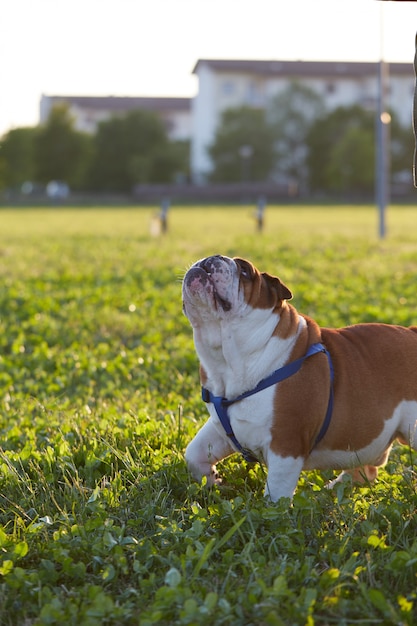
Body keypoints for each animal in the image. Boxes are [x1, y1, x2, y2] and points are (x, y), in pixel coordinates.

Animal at [182, 254, 416, 502]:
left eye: (244, 269)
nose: (211, 258)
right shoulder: (221, 428)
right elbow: (194, 454)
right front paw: (213, 483)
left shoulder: (286, 444)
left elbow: (276, 494)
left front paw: (271, 510)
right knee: (366, 469)